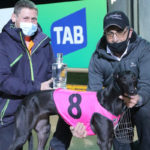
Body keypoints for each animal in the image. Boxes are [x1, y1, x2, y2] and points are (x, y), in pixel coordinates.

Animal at [8, 71, 137, 150]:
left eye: (134, 77)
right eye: (123, 79)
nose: (133, 92)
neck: (109, 99)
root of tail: (25, 99)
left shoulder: (109, 138)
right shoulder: (103, 140)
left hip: (43, 132)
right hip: (22, 134)